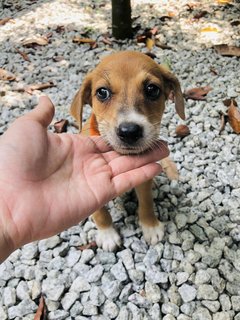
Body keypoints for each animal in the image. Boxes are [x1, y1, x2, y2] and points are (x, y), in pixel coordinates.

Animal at [70, 50, 185, 250]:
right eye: (102, 92)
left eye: (152, 89)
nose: (129, 131)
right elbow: (100, 212)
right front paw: (107, 234)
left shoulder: (144, 179)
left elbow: (146, 202)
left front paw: (150, 226)